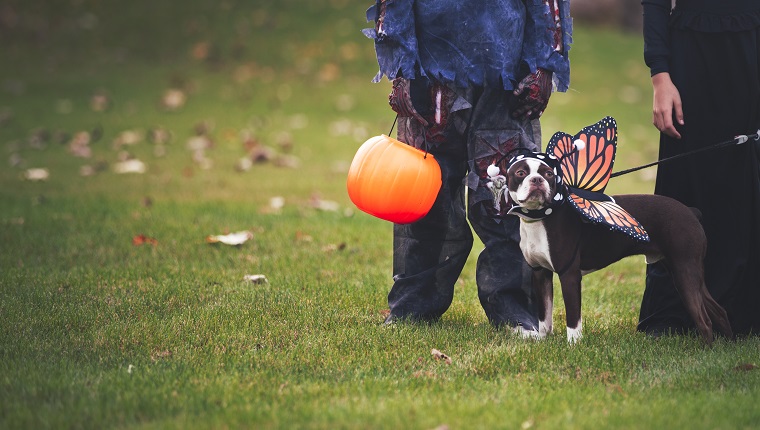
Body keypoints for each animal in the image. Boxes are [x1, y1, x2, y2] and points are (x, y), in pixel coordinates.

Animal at [502, 156, 732, 344]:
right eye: (520, 173)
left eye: (549, 174)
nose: (537, 180)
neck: (540, 216)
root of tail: (691, 212)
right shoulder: (541, 273)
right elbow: (544, 316)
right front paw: (543, 341)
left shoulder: (569, 275)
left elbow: (573, 320)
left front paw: (573, 346)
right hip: (686, 271)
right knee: (718, 310)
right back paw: (726, 347)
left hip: (684, 270)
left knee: (704, 319)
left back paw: (705, 352)